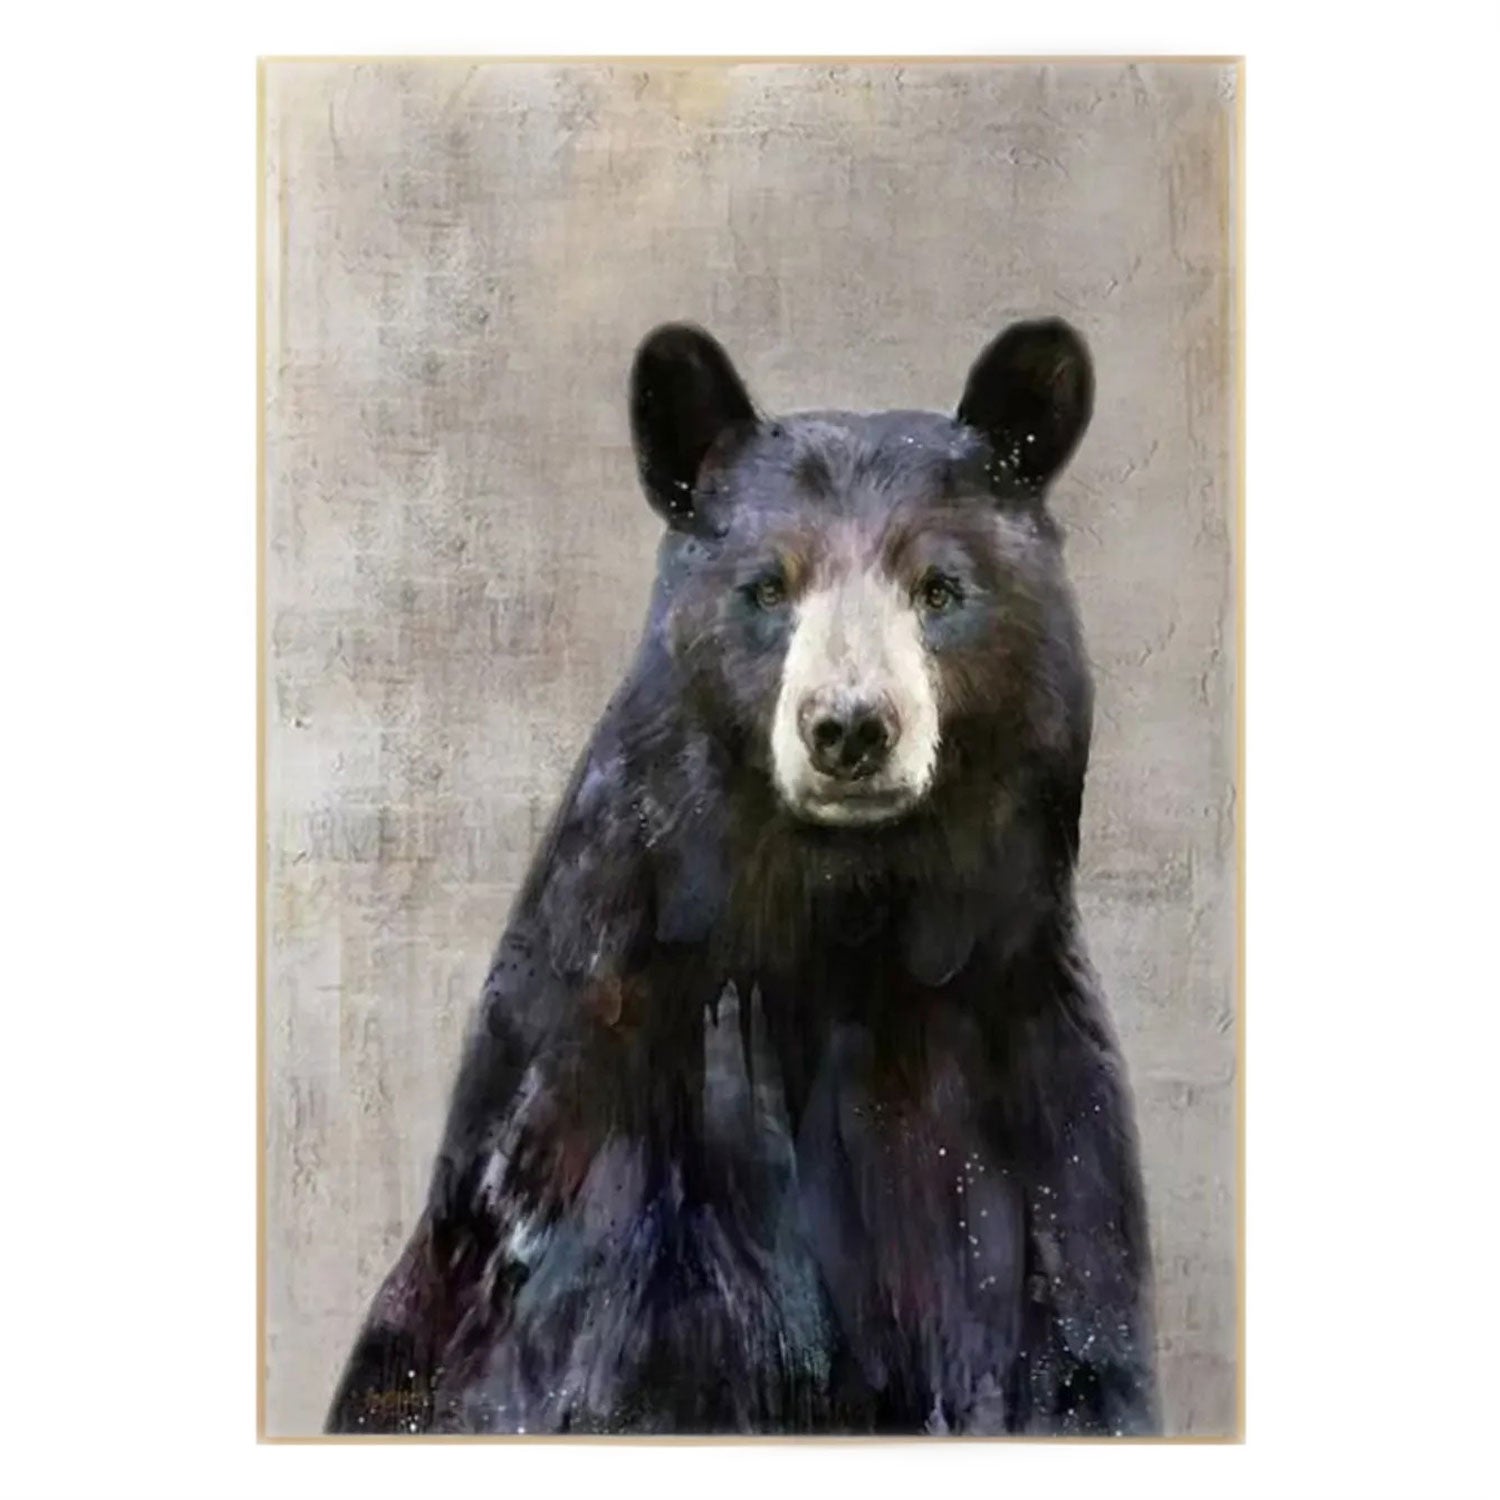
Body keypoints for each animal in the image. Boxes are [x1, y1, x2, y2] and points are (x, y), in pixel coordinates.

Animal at [324, 318, 1160, 1437]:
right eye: (768, 587)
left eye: (940, 589)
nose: (849, 728)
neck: (846, 929)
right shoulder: (610, 1134)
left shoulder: (1034, 1111)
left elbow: (1070, 1349)